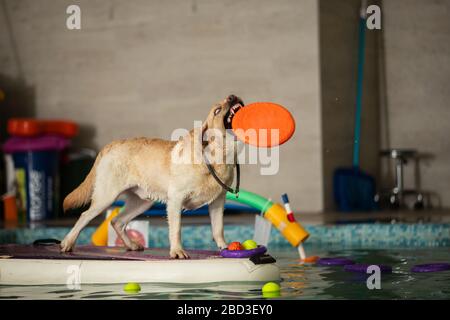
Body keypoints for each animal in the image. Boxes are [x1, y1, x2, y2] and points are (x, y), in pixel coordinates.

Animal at [60, 94, 243, 258]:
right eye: (217, 110)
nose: (232, 96)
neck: (217, 158)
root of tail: (111, 145)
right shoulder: (176, 199)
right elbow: (176, 229)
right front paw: (177, 251)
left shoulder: (218, 202)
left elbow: (218, 228)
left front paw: (224, 247)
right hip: (106, 197)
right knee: (85, 216)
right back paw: (67, 243)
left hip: (142, 202)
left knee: (117, 221)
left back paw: (131, 245)